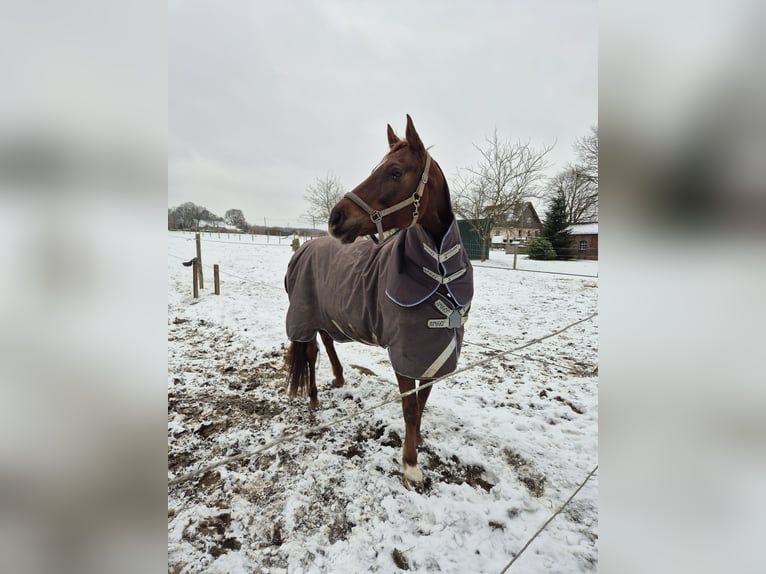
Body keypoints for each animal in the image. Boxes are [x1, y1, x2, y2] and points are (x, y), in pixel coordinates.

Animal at [284, 115, 473, 488]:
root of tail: (306, 246)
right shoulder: (404, 353)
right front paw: (411, 465)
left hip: (327, 314)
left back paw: (339, 378)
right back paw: (313, 398)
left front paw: (419, 440)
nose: (336, 218)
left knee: (328, 343)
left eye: (395, 172)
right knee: (310, 354)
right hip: (304, 315)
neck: (438, 274)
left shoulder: (432, 352)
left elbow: (422, 401)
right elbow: (409, 408)